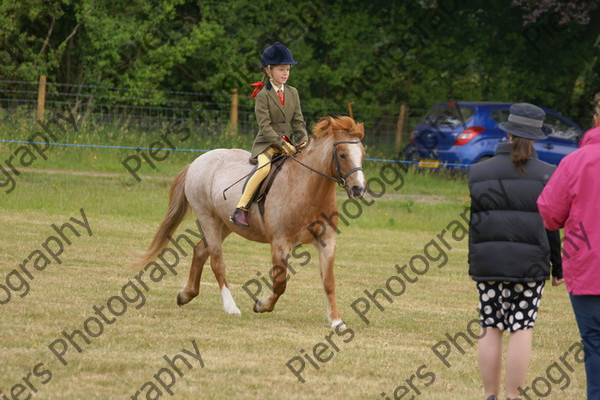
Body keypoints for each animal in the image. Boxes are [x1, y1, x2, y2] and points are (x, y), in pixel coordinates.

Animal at [135, 115, 366, 324]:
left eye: (363, 155)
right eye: (342, 154)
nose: (358, 189)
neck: (307, 189)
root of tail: (198, 161)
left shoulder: (327, 241)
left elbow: (329, 282)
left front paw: (336, 320)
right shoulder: (280, 243)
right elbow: (280, 283)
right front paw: (261, 305)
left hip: (226, 224)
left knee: (200, 250)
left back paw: (186, 294)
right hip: (208, 218)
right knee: (217, 261)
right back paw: (230, 307)